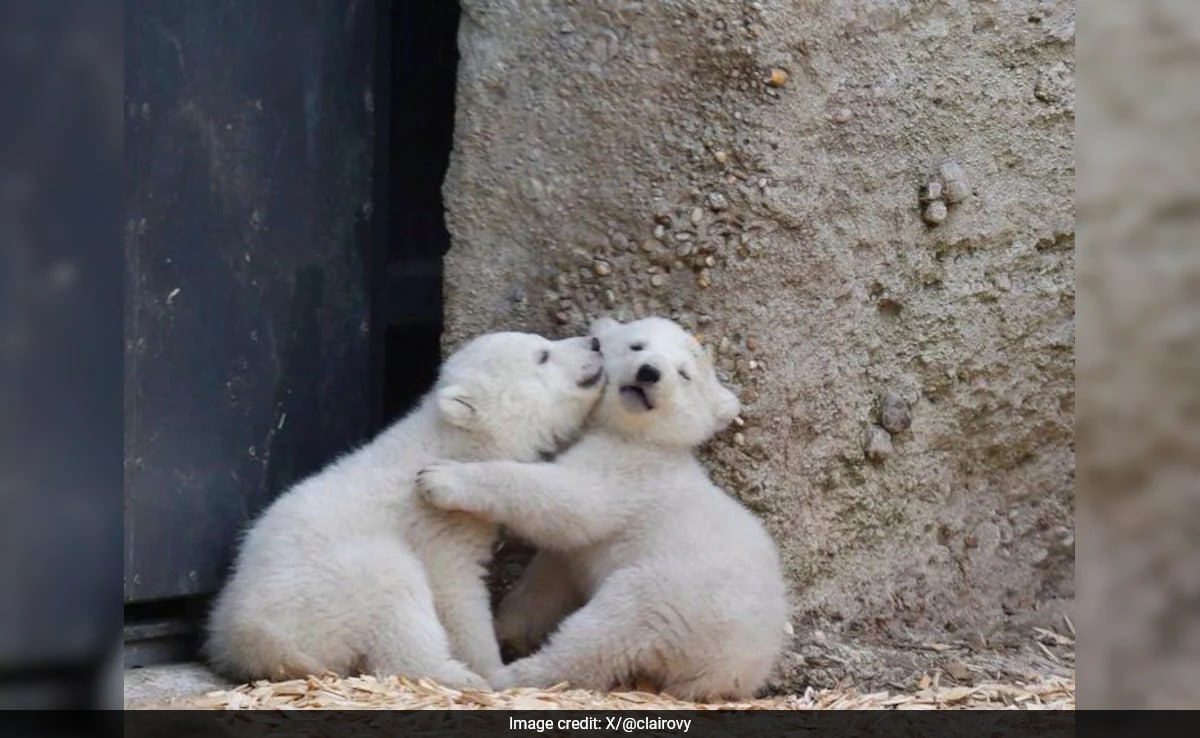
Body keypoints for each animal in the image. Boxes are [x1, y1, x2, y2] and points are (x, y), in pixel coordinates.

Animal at [203, 330, 606, 689]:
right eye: (542, 355)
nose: (595, 343)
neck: (448, 441)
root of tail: (246, 635)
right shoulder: (434, 521)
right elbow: (455, 589)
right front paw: (491, 667)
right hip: (320, 593)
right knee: (393, 588)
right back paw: (456, 676)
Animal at [416, 316, 790, 701]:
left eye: (684, 373)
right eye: (637, 345)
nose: (649, 372)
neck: (642, 439)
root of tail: (733, 667)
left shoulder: (630, 472)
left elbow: (573, 499)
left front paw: (441, 478)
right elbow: (552, 574)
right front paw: (508, 624)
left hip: (679, 596)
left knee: (606, 630)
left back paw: (514, 674)